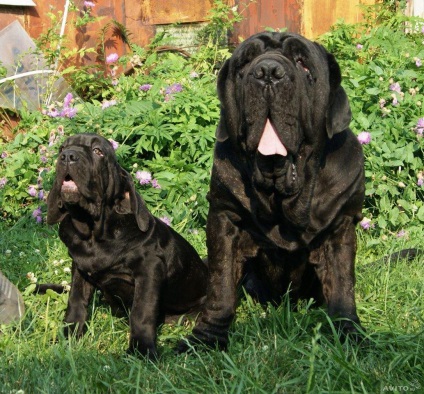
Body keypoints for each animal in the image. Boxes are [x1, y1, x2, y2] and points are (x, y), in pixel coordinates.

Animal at [45, 134, 208, 358]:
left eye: (98, 151)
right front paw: (68, 335)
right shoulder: (79, 268)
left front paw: (142, 350)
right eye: (62, 148)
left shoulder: (149, 270)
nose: (68, 156)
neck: (93, 234)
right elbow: (76, 301)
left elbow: (141, 311)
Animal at [179, 31, 364, 350]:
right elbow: (220, 285)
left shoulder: (340, 225)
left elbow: (342, 285)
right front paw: (206, 337)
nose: (267, 72)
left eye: (303, 64)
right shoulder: (224, 218)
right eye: (244, 64)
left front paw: (349, 333)